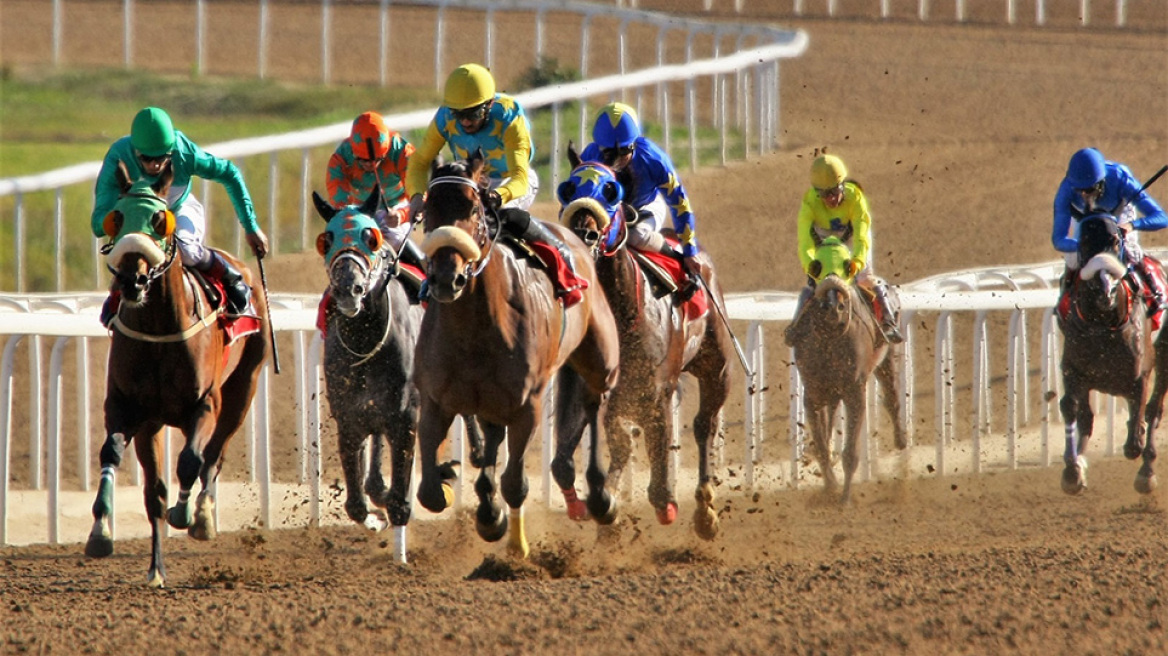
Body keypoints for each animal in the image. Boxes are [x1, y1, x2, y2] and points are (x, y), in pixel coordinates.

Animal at [84, 161, 267, 583]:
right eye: (116, 217)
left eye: (158, 219)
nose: (132, 280)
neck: (158, 327)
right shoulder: (126, 407)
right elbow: (113, 452)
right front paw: (100, 532)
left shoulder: (205, 404)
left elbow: (191, 461)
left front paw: (186, 513)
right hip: (153, 424)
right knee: (155, 492)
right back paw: (156, 569)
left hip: (243, 389)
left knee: (214, 454)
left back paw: (202, 516)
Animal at [415, 149, 626, 555]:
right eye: (429, 208)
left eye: (473, 208)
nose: (447, 277)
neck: (474, 328)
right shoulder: (436, 400)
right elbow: (430, 492)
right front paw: (460, 488)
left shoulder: (528, 405)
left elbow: (515, 484)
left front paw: (514, 542)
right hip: (491, 402)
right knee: (493, 438)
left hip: (600, 358)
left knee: (595, 404)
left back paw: (599, 496)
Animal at [555, 155, 728, 539]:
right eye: (568, 187)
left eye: (610, 191)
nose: (584, 233)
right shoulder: (584, 387)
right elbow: (563, 461)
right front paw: (596, 507)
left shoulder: (655, 390)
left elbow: (655, 454)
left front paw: (664, 503)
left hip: (716, 368)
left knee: (704, 424)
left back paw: (705, 510)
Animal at [789, 236, 906, 501]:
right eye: (818, 264)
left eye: (845, 264)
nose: (834, 306)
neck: (830, 338)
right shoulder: (813, 392)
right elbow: (821, 446)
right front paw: (830, 486)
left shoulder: (855, 391)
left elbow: (851, 453)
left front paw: (844, 499)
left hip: (888, 357)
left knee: (892, 398)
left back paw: (901, 440)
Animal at [1060, 212, 1158, 492]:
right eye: (1083, 241)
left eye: (1115, 240)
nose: (1105, 289)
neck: (1102, 325)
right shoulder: (1072, 369)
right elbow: (1072, 408)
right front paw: (1073, 470)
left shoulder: (1140, 373)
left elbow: (1136, 432)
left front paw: (1137, 441)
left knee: (1154, 409)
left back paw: (1146, 471)